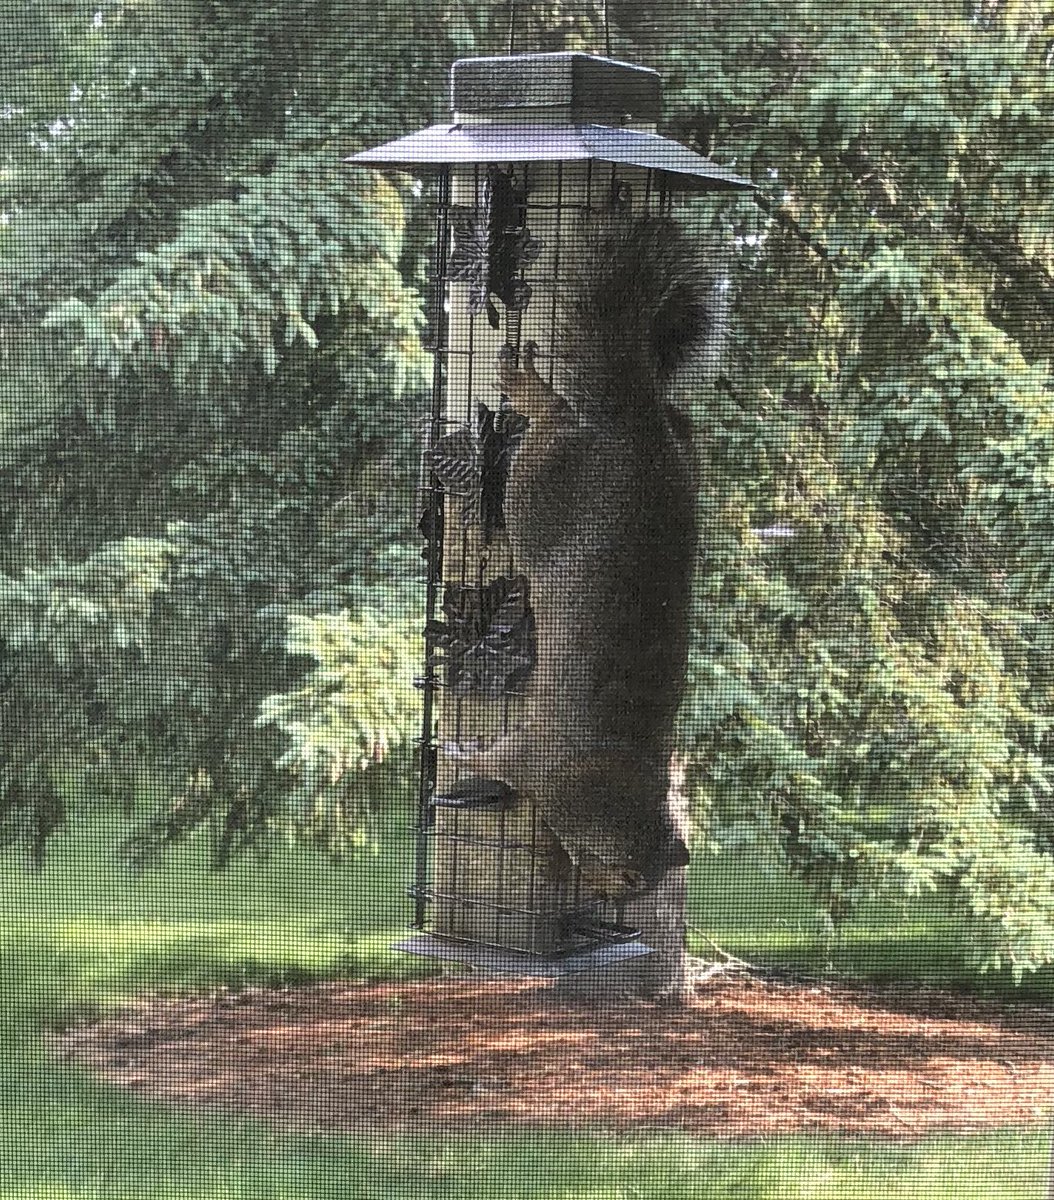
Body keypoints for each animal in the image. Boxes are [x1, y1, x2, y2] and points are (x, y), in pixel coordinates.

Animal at [462, 213, 716, 900]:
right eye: (623, 884)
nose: (603, 895)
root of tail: (639, 432)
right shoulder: (542, 765)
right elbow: (500, 760)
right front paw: (462, 755)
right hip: (539, 488)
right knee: (550, 421)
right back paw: (530, 391)